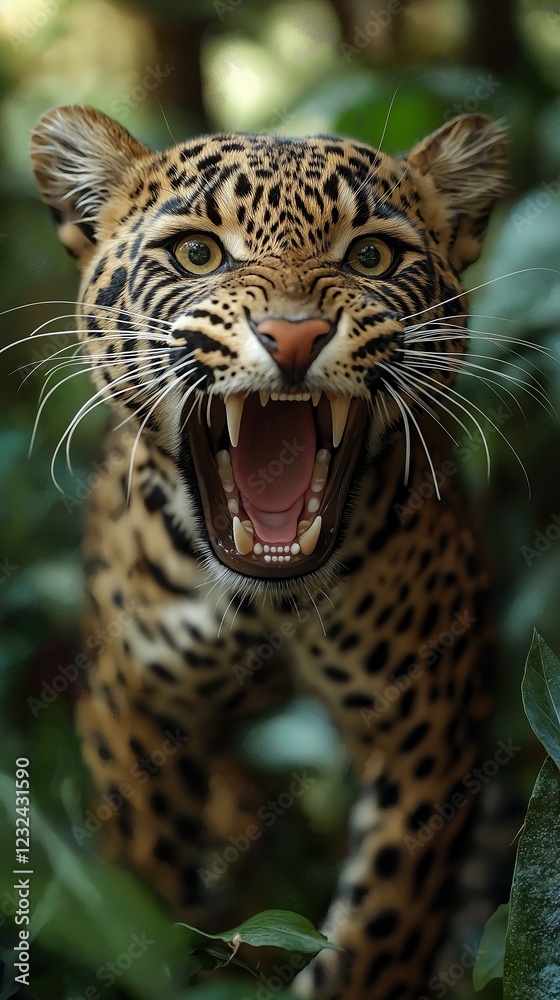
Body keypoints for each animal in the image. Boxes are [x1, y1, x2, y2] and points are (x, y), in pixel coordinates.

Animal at [29, 104, 508, 1000]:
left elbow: (382, 925)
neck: (267, 598)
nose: (293, 337)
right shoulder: (131, 700)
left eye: (369, 256)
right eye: (198, 253)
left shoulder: (428, 719)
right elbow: (146, 885)